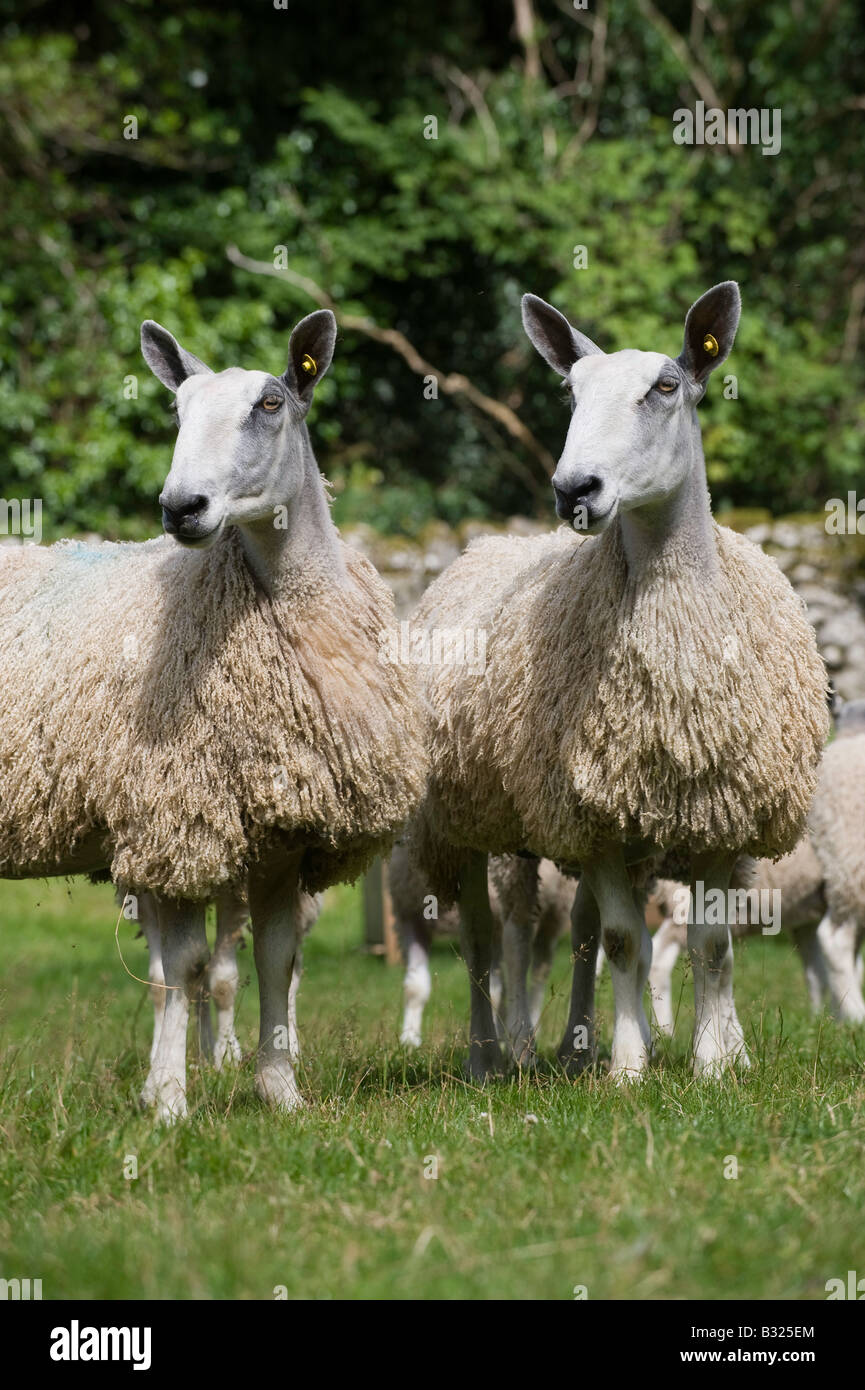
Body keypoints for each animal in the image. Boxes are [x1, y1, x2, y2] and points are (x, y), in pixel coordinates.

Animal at [0, 312, 428, 1117]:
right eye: (178, 409)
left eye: (270, 403)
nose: (181, 507)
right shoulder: (173, 819)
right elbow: (185, 967)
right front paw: (169, 1100)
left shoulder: (284, 834)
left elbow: (276, 959)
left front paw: (280, 1092)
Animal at [392, 834, 575, 1050]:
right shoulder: (409, 917)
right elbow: (415, 987)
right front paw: (409, 1040)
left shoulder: (494, 925)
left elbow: (492, 990)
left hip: (553, 911)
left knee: (540, 969)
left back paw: (530, 1022)